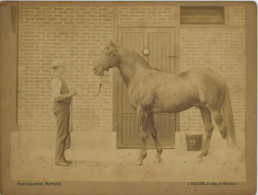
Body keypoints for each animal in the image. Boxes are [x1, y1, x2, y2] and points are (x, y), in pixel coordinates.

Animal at [92, 39, 236, 166]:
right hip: (204, 109)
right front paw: (158, 157)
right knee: (209, 128)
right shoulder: (149, 112)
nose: (95, 69)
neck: (140, 77)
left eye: (107, 53)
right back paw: (201, 156)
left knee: (223, 128)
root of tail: (220, 77)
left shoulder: (142, 111)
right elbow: (153, 132)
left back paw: (224, 157)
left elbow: (143, 133)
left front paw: (140, 158)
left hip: (214, 108)